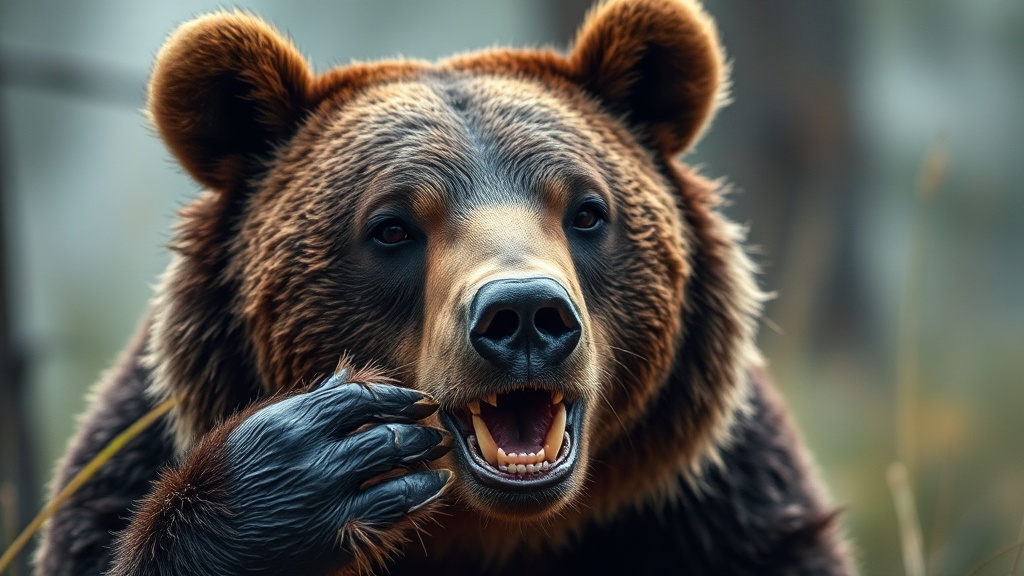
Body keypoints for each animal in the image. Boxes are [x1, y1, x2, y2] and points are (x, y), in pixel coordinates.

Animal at [35, 0, 855, 574]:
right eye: (392, 226)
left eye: (588, 210)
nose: (524, 314)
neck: (481, 532)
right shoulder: (121, 471)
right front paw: (314, 459)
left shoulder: (715, 511)